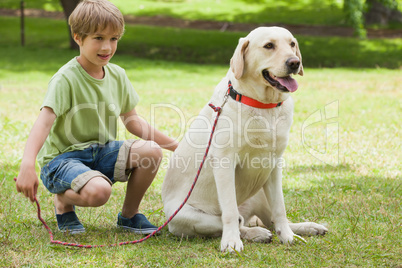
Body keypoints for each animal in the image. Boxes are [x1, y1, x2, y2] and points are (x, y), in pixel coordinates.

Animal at [162, 27, 328, 253]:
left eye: (292, 44)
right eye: (269, 46)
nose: (294, 62)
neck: (263, 105)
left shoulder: (273, 165)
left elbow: (280, 208)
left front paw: (288, 237)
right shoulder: (224, 163)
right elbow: (230, 212)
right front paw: (231, 242)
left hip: (260, 189)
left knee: (270, 220)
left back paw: (306, 228)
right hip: (185, 216)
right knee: (237, 222)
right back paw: (256, 234)